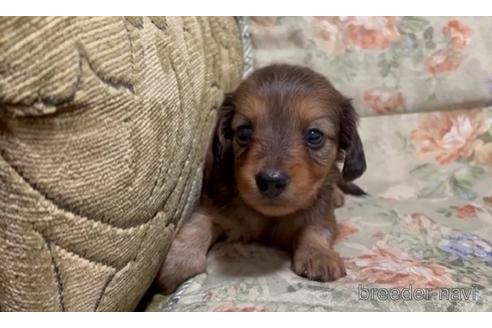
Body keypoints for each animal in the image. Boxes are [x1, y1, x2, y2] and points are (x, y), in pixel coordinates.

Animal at [157, 62, 366, 294]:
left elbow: (316, 229)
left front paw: (318, 255)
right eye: (244, 132)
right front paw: (180, 261)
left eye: (314, 136)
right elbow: (197, 223)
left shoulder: (322, 214)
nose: (271, 180)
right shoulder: (215, 206)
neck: (269, 218)